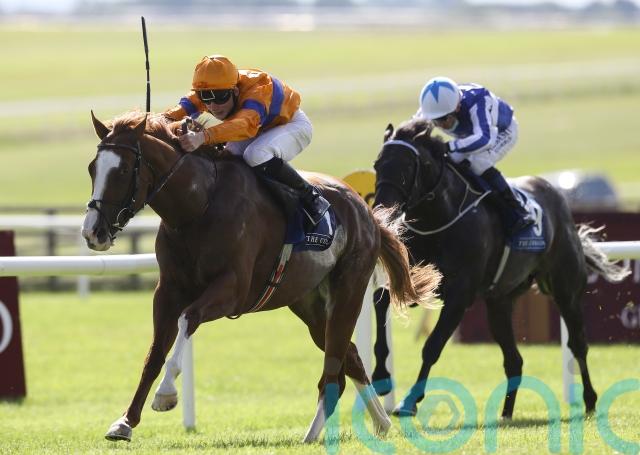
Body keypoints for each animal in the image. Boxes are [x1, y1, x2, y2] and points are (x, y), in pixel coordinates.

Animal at [81, 111, 442, 442]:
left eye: (123, 171)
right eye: (92, 169)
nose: (93, 232)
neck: (198, 206)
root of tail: (366, 212)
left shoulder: (232, 289)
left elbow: (189, 318)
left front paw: (166, 394)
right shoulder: (168, 290)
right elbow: (155, 352)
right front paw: (124, 422)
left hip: (349, 290)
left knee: (333, 369)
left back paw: (314, 434)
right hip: (310, 305)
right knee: (349, 357)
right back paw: (380, 423)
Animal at [371, 118, 629, 418]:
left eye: (407, 167)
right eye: (378, 164)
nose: (382, 209)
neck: (438, 219)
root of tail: (558, 200)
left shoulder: (459, 295)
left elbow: (432, 346)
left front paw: (409, 400)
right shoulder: (414, 281)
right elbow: (379, 302)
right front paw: (380, 376)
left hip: (566, 292)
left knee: (578, 345)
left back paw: (589, 400)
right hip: (499, 303)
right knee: (514, 360)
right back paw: (506, 413)